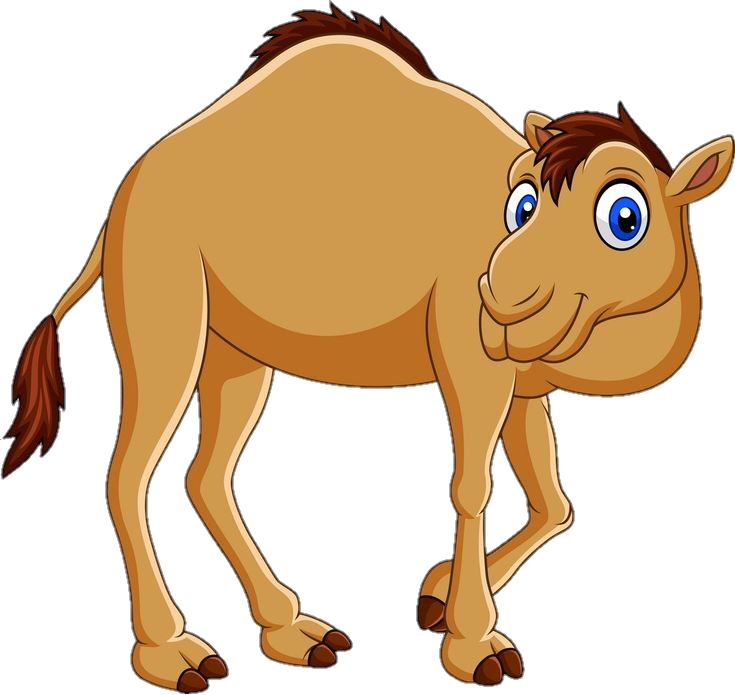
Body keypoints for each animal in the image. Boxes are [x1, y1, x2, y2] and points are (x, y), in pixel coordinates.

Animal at [3, 5, 732, 691]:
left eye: (624, 217)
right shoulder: (469, 361)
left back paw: (295, 630)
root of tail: (120, 203)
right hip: (165, 316)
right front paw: (474, 644)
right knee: (128, 473)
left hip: (235, 351)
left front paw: (435, 595)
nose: (503, 299)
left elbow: (553, 500)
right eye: (523, 205)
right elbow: (473, 485)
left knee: (206, 475)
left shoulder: (524, 384)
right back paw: (174, 652)